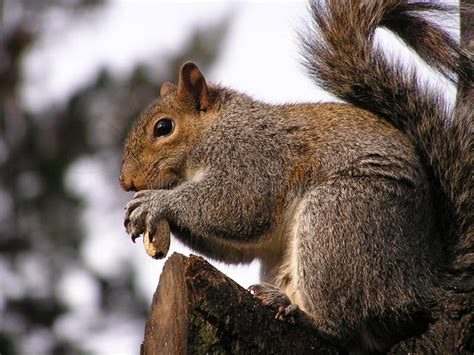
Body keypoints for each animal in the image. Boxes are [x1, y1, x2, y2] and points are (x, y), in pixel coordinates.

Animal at [120, 0, 472, 354]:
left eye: (163, 127)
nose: (127, 183)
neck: (214, 128)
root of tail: (423, 282)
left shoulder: (254, 156)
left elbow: (239, 205)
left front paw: (156, 201)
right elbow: (238, 247)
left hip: (341, 219)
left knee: (342, 327)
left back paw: (301, 314)